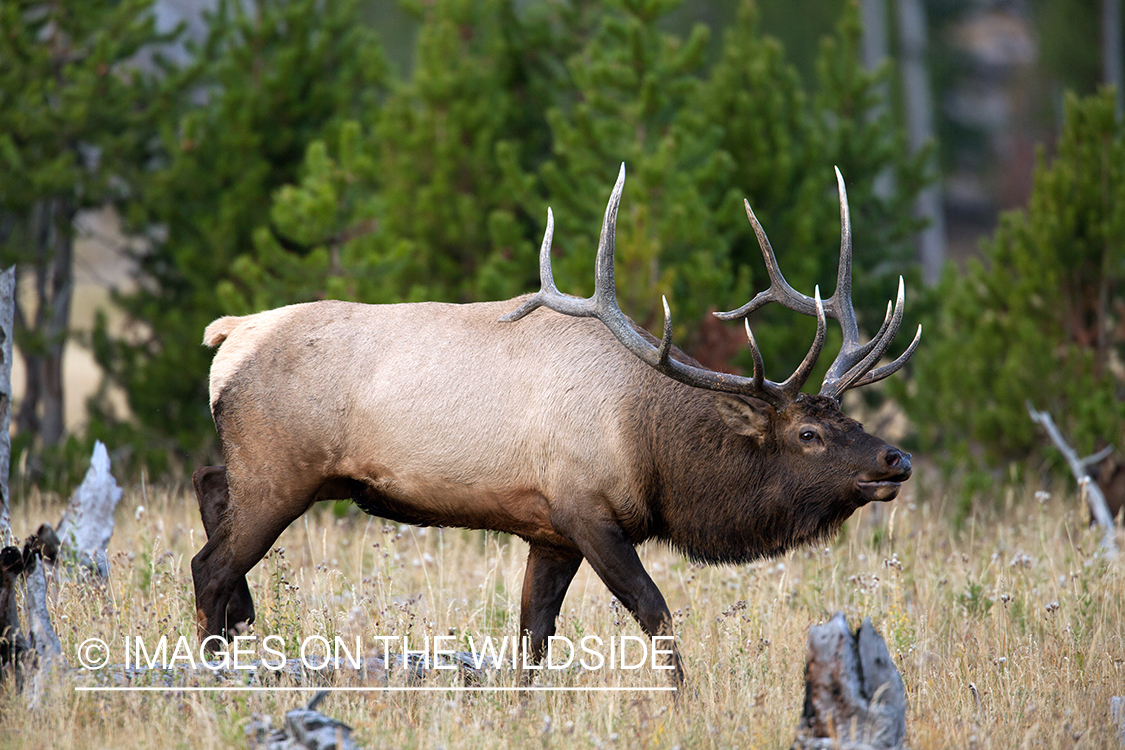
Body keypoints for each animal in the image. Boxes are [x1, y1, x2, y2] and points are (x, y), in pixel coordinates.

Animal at [191, 165, 913, 688]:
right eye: (807, 435)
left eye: (847, 416)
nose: (894, 460)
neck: (650, 444)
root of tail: (228, 335)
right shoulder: (587, 510)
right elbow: (655, 613)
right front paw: (682, 699)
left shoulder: (549, 533)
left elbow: (532, 640)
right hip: (281, 470)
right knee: (209, 565)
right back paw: (206, 670)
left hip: (275, 469)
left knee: (208, 485)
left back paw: (237, 631)